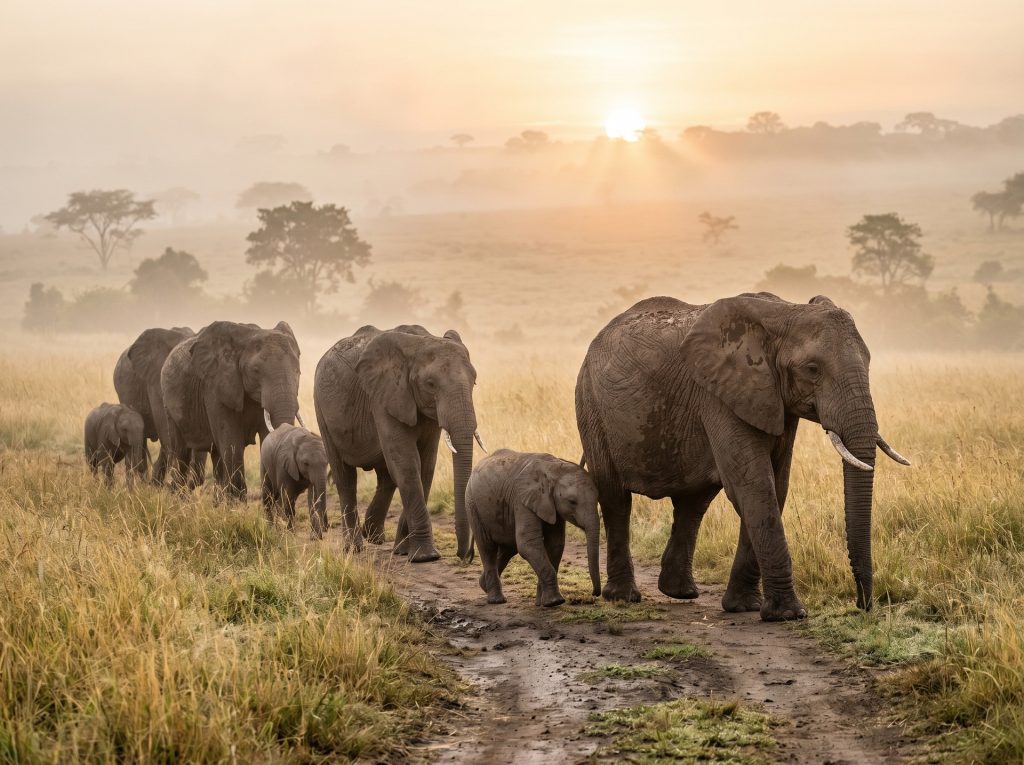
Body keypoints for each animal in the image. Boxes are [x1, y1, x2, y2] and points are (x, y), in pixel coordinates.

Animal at [160, 320, 304, 500]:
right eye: (256, 371)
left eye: (298, 371)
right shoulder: (216, 387)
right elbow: (232, 441)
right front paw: (238, 504)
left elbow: (265, 436)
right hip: (168, 406)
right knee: (180, 452)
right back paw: (178, 499)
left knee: (216, 455)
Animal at [313, 325, 483, 561]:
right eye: (430, 384)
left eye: (474, 381)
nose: (465, 555)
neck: (421, 342)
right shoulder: (383, 396)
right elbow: (408, 464)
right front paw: (425, 557)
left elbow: (425, 466)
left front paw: (405, 551)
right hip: (322, 409)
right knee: (344, 476)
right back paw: (354, 548)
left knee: (386, 476)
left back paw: (373, 535)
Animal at [466, 449, 601, 607]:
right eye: (572, 502)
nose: (594, 593)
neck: (554, 468)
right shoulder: (522, 500)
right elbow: (528, 544)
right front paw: (554, 602)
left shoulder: (551, 504)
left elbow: (555, 544)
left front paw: (541, 602)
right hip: (473, 505)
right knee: (487, 548)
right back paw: (496, 600)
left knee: (508, 549)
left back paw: (484, 586)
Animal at [576, 293, 910, 621]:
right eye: (812, 369)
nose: (862, 606)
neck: (785, 312)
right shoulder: (719, 395)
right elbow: (754, 485)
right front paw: (787, 614)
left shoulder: (774, 402)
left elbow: (775, 486)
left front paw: (745, 607)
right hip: (591, 406)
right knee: (616, 498)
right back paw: (624, 597)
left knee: (694, 502)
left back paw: (680, 592)